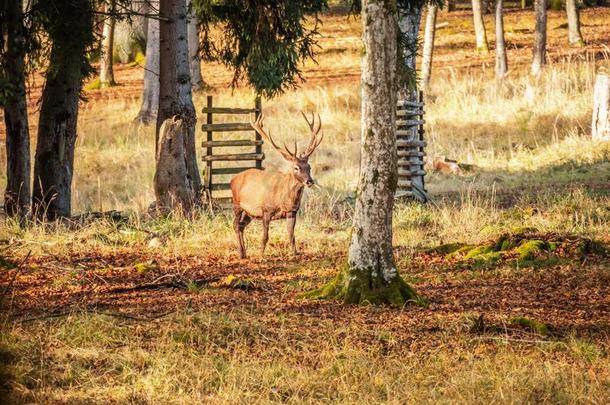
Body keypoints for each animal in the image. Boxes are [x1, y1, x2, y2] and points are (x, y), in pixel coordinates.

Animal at [229, 112, 324, 258]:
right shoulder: (266, 210)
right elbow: (265, 236)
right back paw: (241, 253)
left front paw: (295, 254)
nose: (309, 181)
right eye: (296, 168)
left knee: (241, 226)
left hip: (249, 212)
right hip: (237, 204)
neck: (284, 199)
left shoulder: (292, 212)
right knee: (235, 225)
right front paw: (261, 255)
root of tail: (233, 179)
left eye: (309, 166)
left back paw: (244, 252)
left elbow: (291, 236)